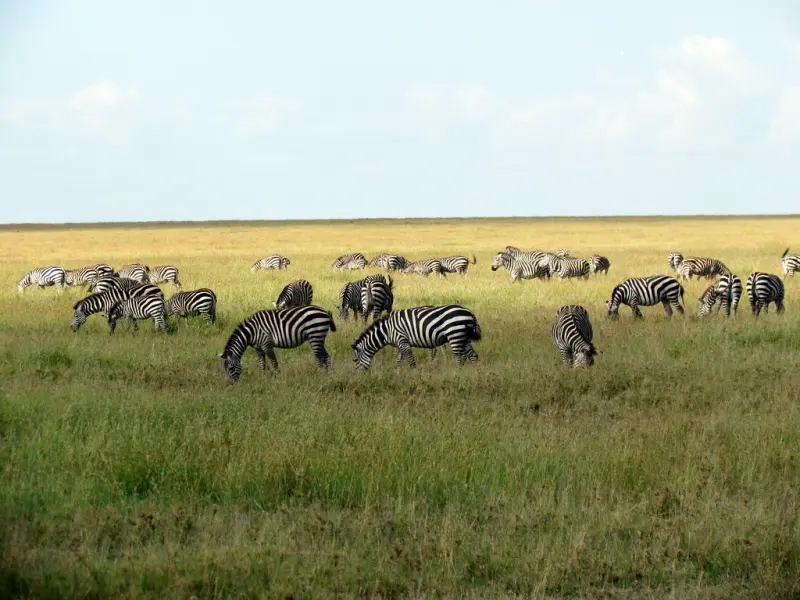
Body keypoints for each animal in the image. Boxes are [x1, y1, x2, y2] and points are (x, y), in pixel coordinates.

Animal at [351, 305, 481, 369]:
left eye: (355, 360)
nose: (359, 378)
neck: (387, 330)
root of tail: (470, 313)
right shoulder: (399, 344)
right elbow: (399, 360)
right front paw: (398, 374)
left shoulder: (402, 340)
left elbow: (410, 360)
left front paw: (414, 375)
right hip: (464, 337)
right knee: (472, 355)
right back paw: (474, 373)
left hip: (455, 335)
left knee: (459, 357)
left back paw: (456, 373)